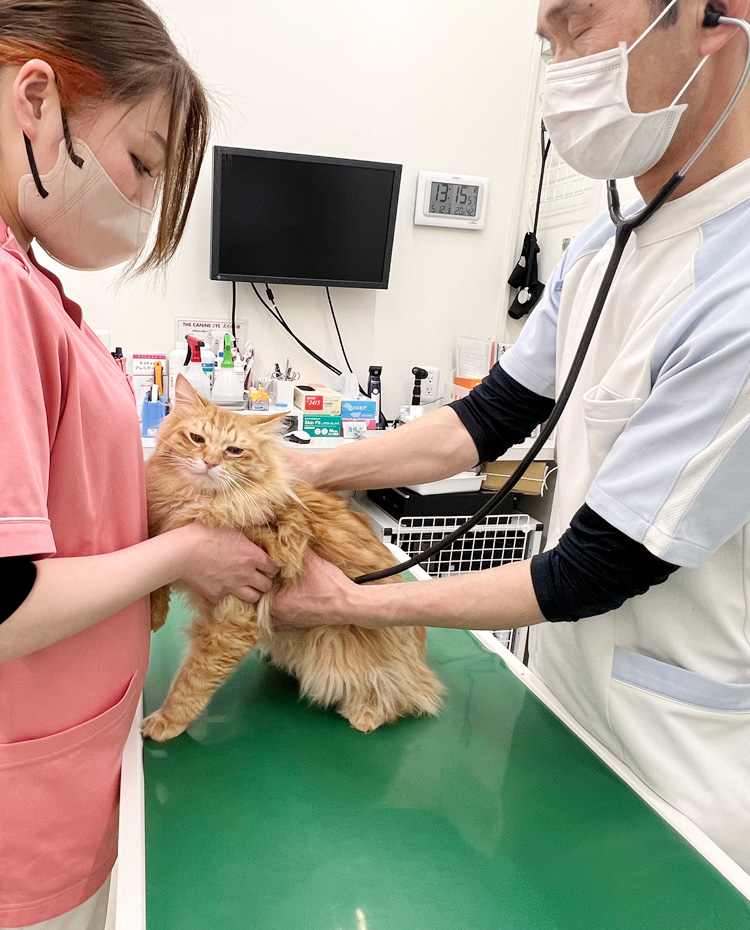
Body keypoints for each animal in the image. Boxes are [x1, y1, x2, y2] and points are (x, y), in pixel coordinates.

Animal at [142, 372, 444, 740]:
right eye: (196, 438)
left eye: (234, 451)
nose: (210, 462)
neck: (195, 501)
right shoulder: (164, 527)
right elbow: (158, 571)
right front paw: (154, 615)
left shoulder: (234, 616)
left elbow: (193, 680)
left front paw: (168, 722)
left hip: (337, 658)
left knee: (407, 692)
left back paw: (367, 713)